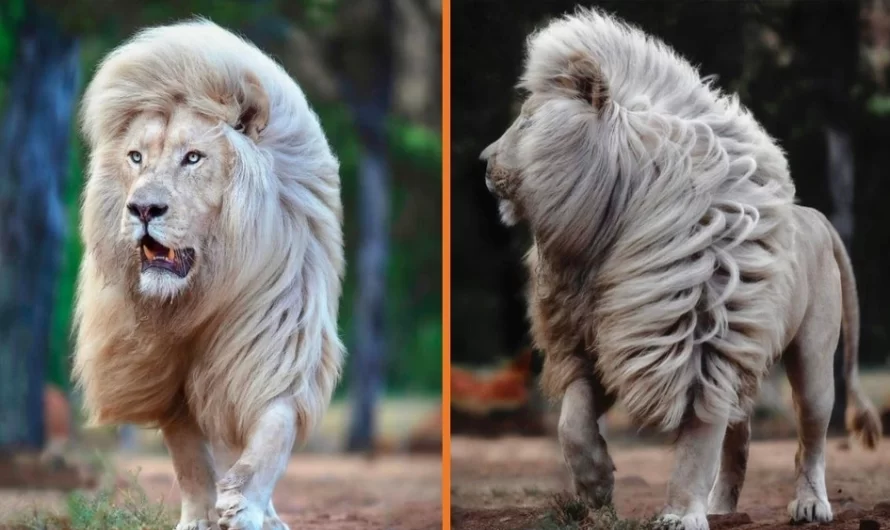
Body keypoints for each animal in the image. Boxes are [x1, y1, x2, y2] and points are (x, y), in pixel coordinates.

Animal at [73, 18, 342, 524]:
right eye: (136, 157)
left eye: (193, 157)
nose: (143, 208)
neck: (202, 292)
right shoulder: (161, 373)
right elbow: (190, 461)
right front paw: (199, 518)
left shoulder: (276, 345)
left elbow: (271, 437)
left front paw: (244, 508)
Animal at [482, 8, 884, 528]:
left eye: (528, 123)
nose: (484, 161)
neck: (605, 236)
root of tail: (816, 216)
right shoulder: (594, 341)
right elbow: (572, 423)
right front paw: (596, 489)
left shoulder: (702, 346)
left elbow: (696, 445)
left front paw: (679, 514)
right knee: (740, 438)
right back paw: (722, 507)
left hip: (813, 360)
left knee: (809, 439)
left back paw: (810, 504)